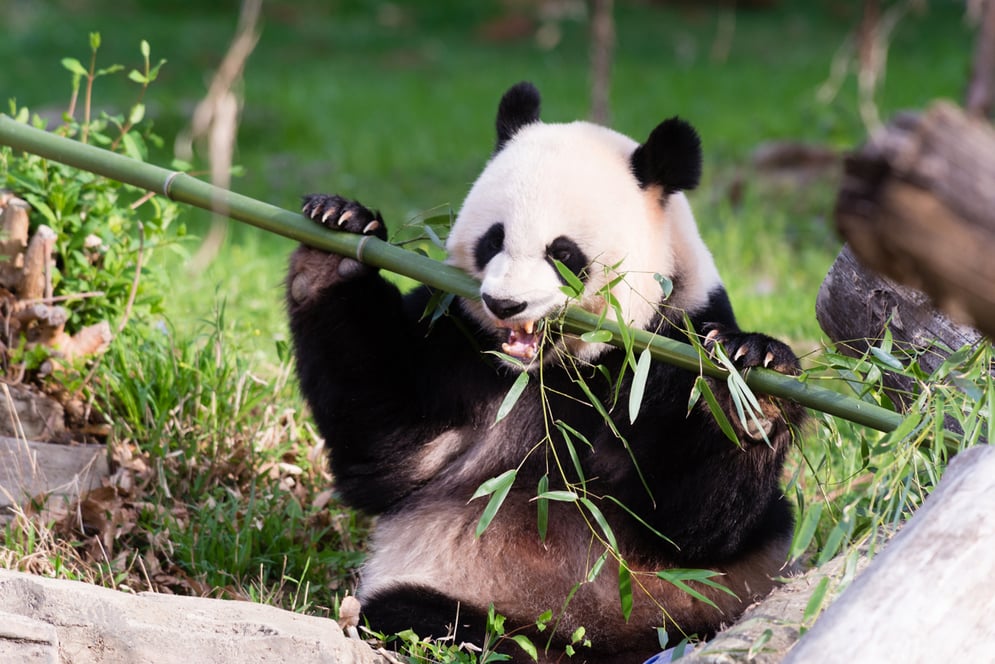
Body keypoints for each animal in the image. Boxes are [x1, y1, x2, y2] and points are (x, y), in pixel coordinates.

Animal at [284, 80, 804, 660]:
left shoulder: (674, 338)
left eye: (563, 253)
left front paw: (748, 381)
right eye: (493, 239)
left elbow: (691, 526)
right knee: (417, 614)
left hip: (715, 599)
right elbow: (390, 450)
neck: (560, 369)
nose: (504, 304)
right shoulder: (457, 343)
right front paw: (338, 237)